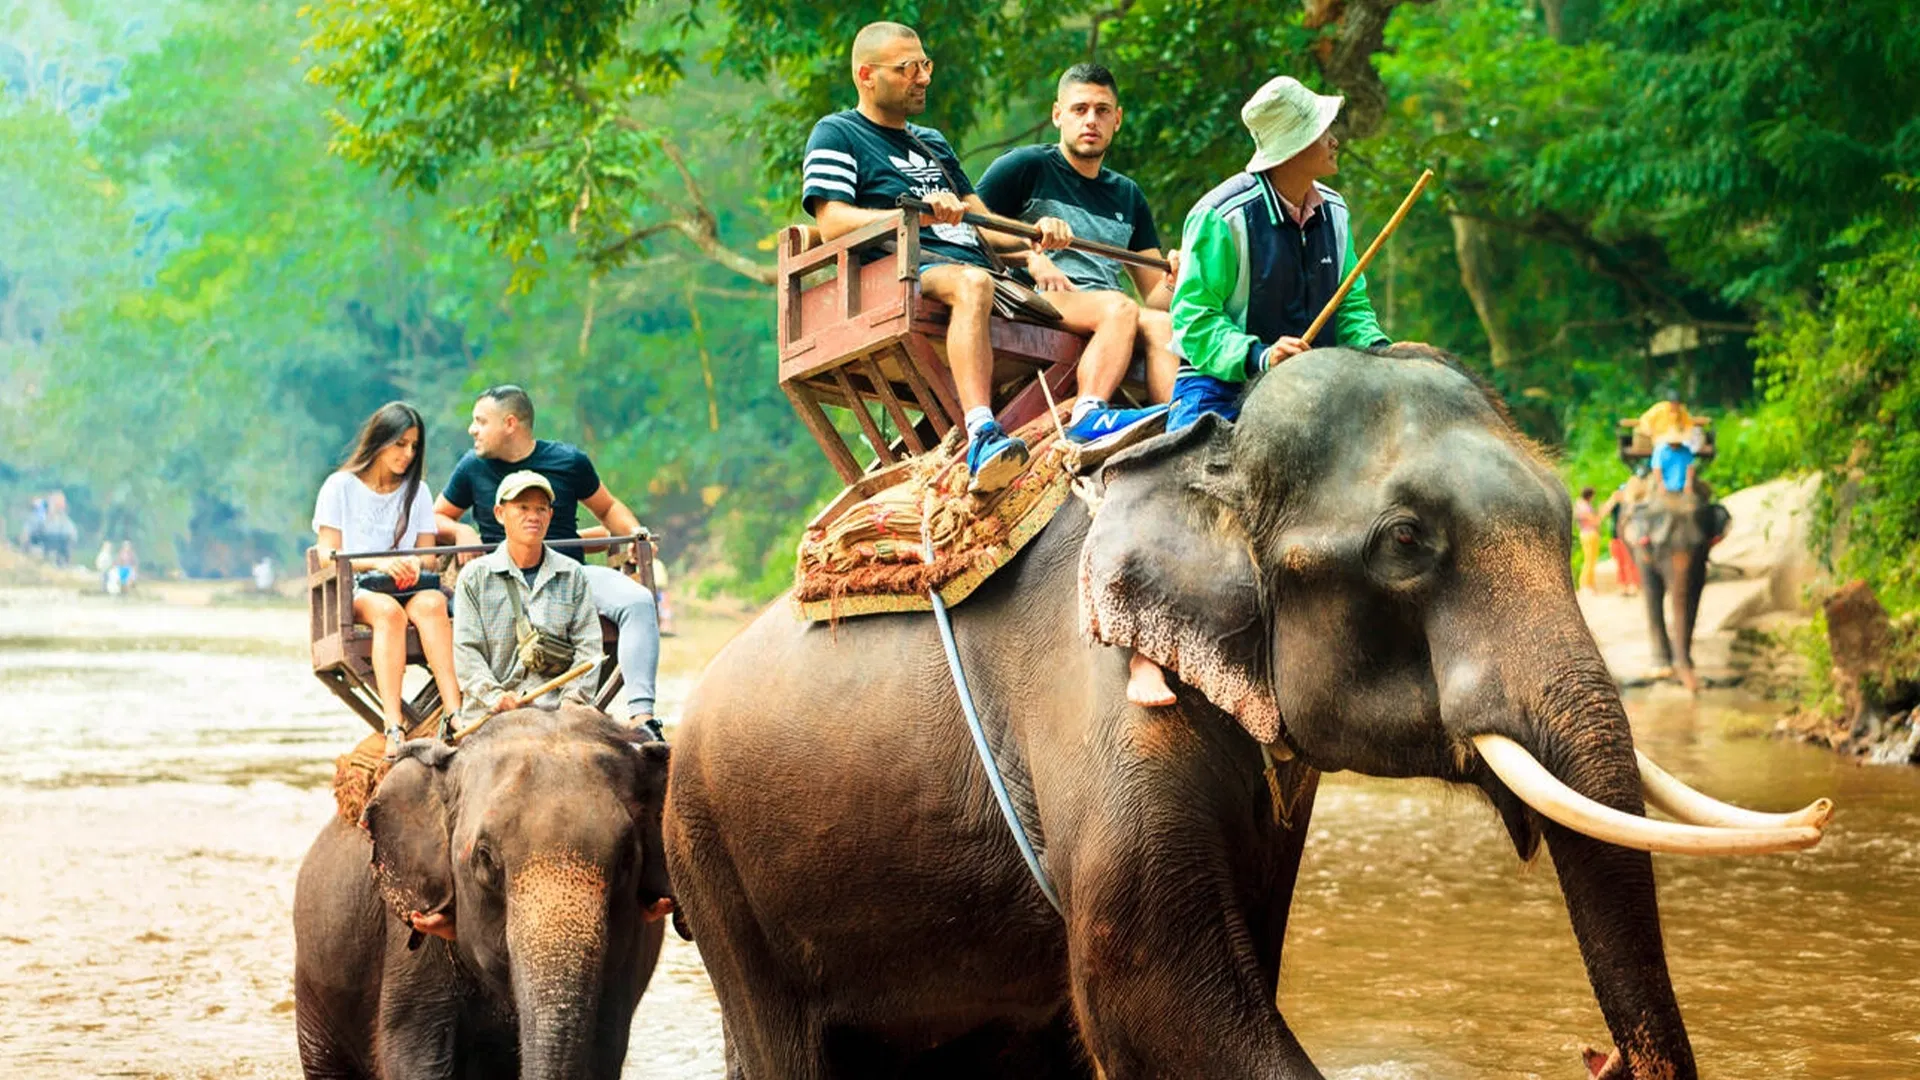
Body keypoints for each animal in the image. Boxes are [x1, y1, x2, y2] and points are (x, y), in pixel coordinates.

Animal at [1622, 483, 1731, 692]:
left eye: (1700, 546)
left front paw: (1686, 663)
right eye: (1661, 547)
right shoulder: (1640, 548)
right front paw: (1661, 670)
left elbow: (1694, 591)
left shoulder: (1699, 562)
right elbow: (1653, 590)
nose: (1701, 685)